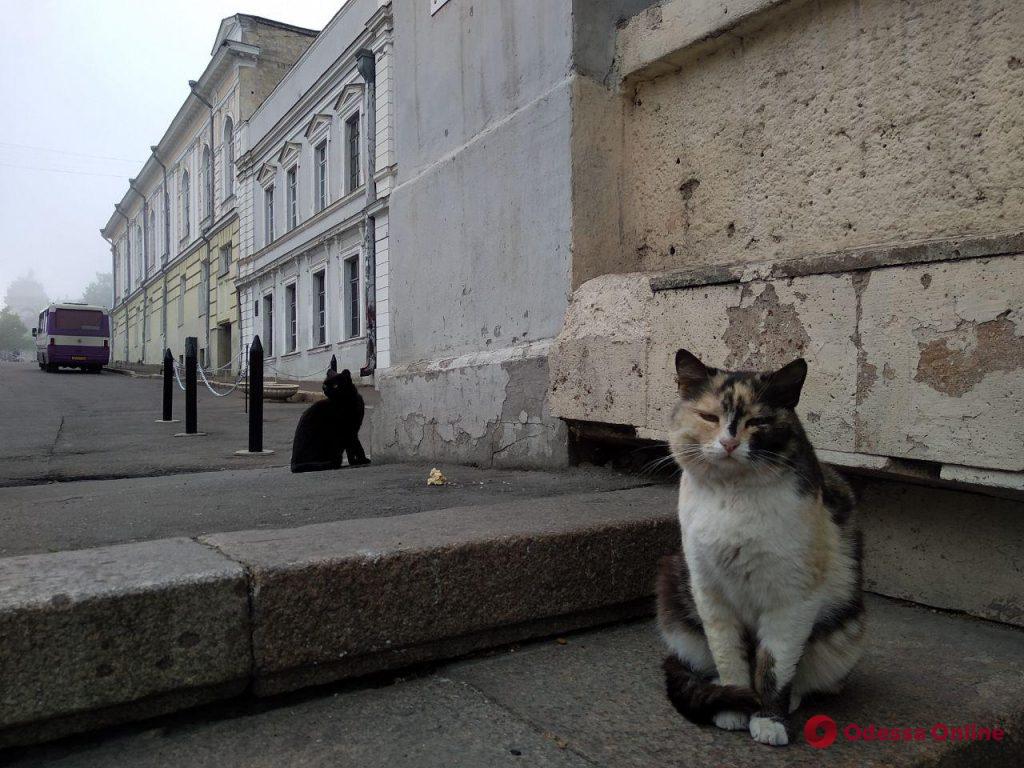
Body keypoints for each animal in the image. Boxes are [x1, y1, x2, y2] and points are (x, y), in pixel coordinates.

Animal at [655, 350, 864, 745]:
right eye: (709, 417)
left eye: (758, 421)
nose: (729, 443)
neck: (732, 497)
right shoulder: (709, 591)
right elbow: (728, 655)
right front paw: (734, 704)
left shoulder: (793, 597)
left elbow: (775, 667)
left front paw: (768, 719)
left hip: (843, 639)